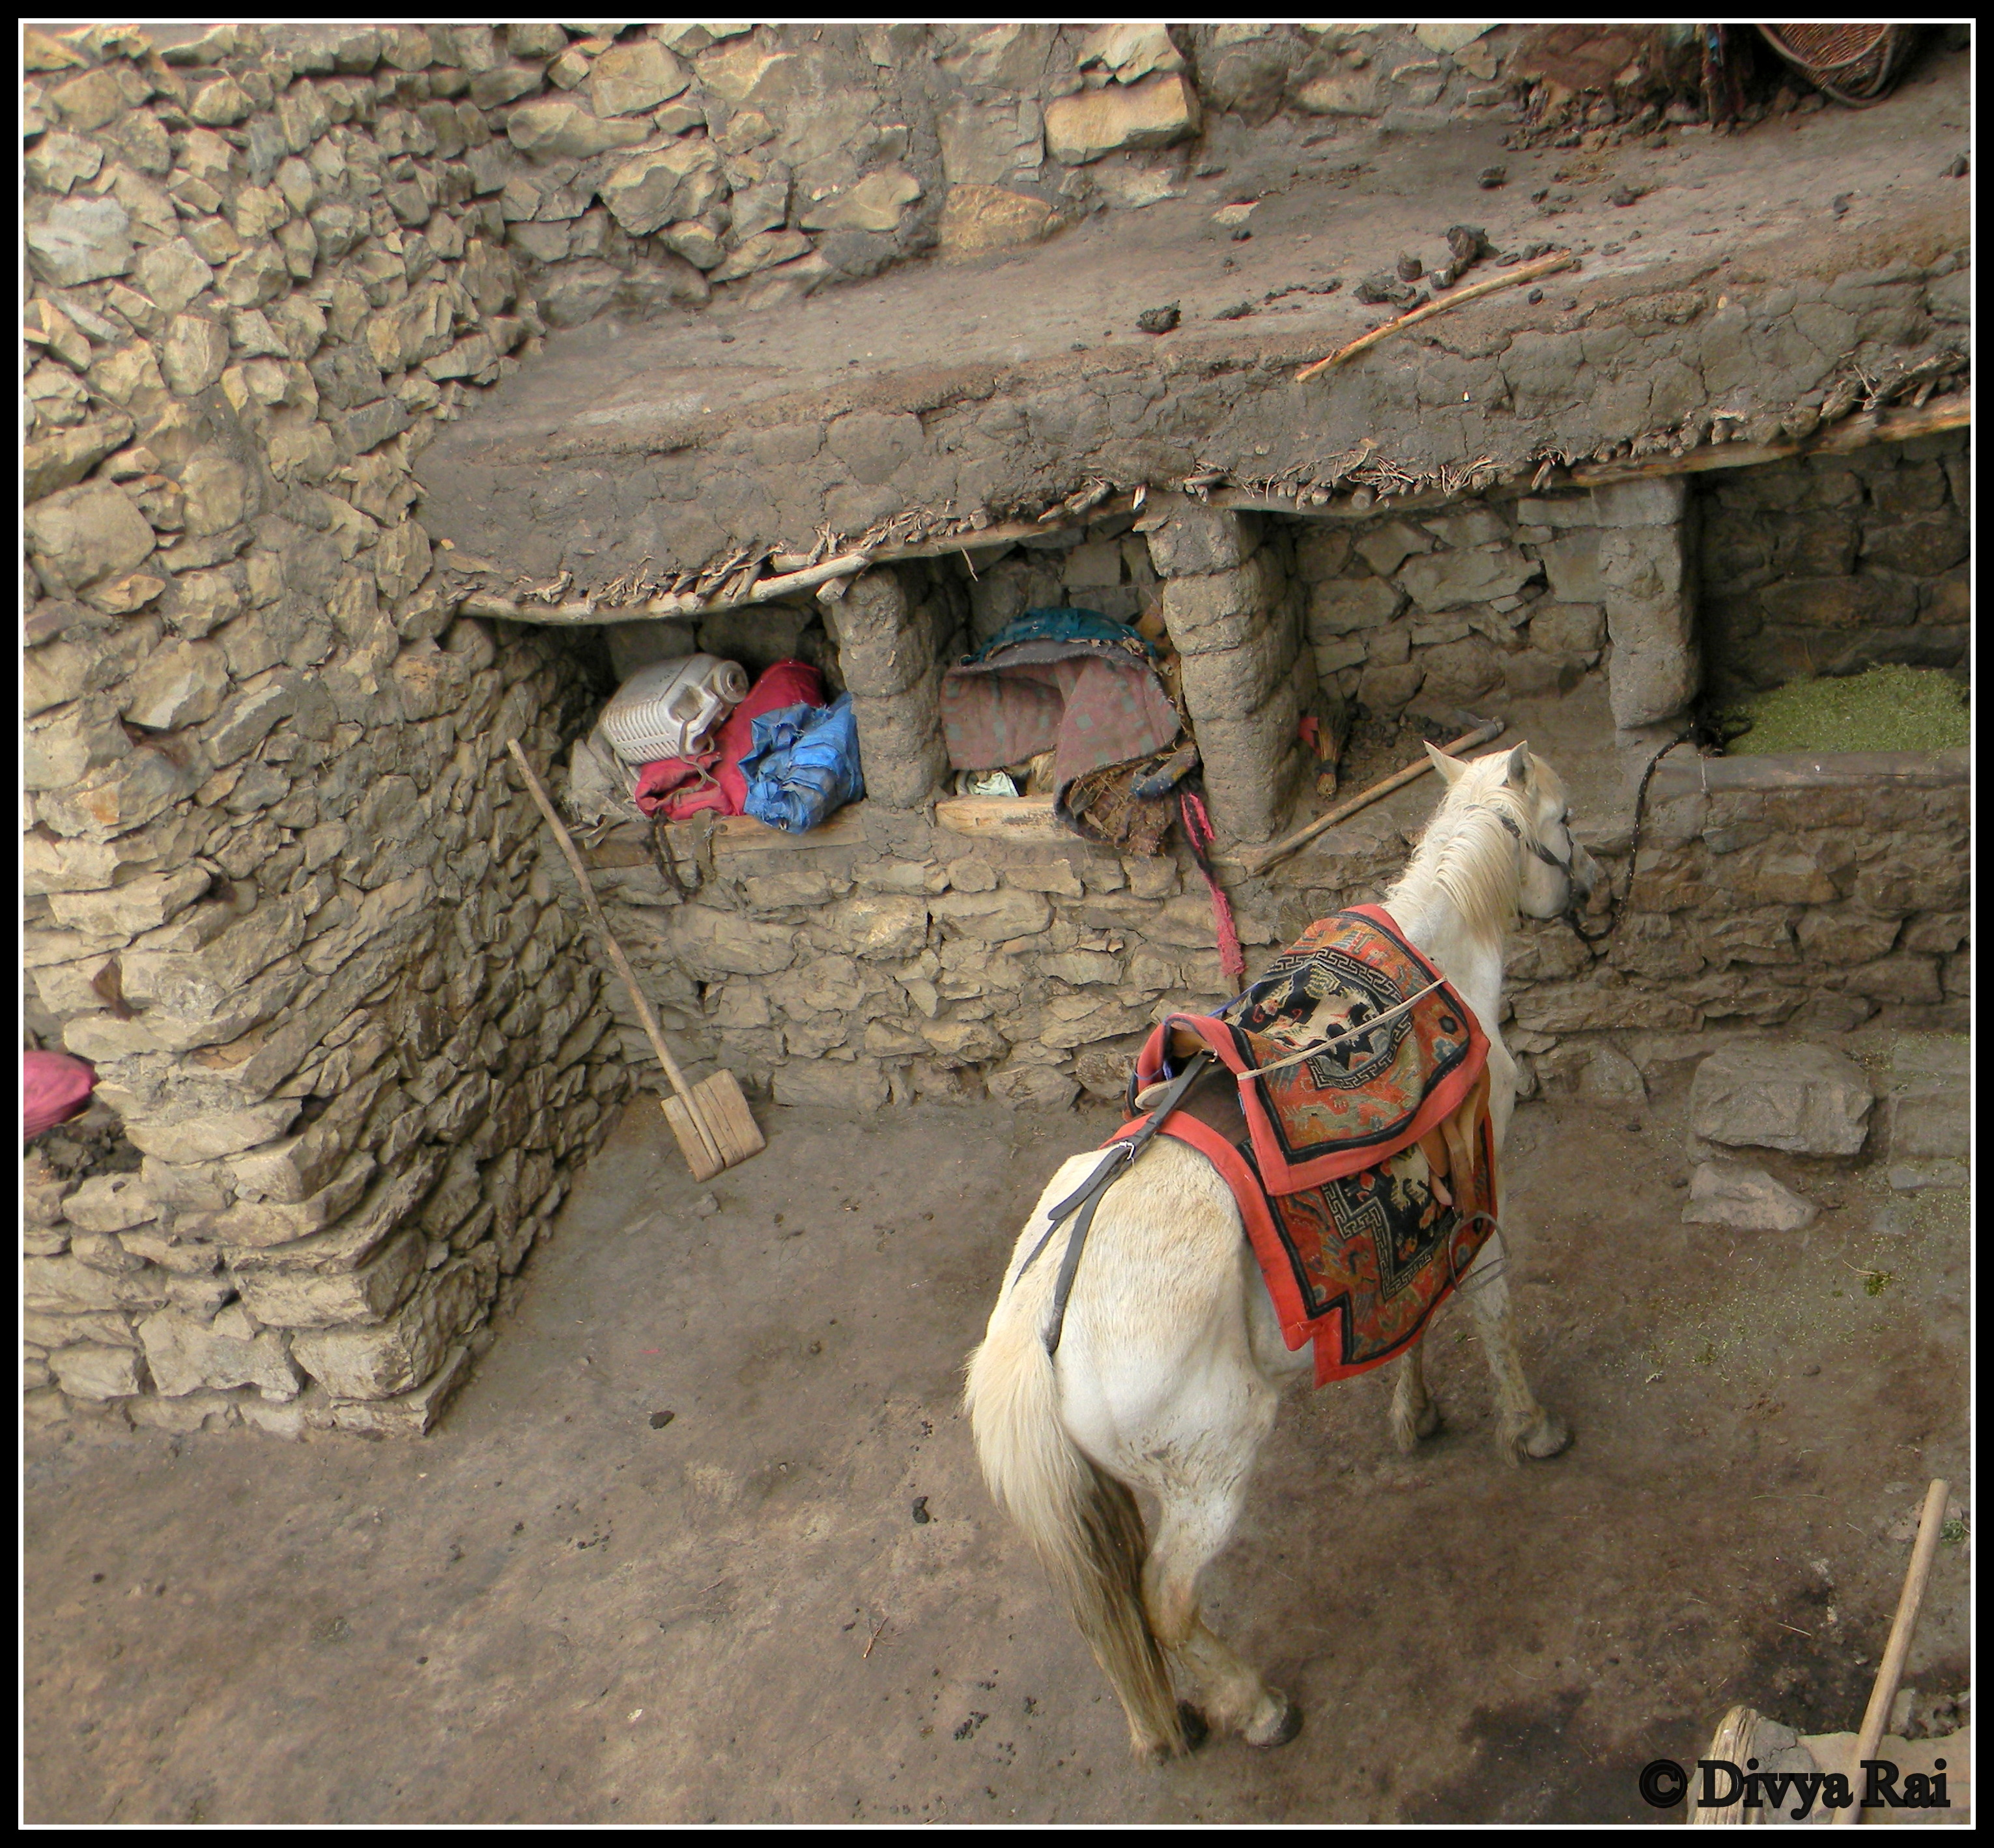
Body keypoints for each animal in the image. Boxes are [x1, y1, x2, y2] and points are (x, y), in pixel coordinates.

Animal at [965, 741, 1603, 1762]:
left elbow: (1410, 1307)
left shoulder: (1417, 1196)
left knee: (1118, 1618)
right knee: (1167, 1601)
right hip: (1211, 1469)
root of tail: (1037, 1336)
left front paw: (1415, 1413)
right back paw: (1256, 1706)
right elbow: (1491, 1310)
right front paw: (1529, 1429)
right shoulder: (1478, 1187)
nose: (1591, 884)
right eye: (1568, 820)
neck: (1440, 958)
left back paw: (1172, 1718)